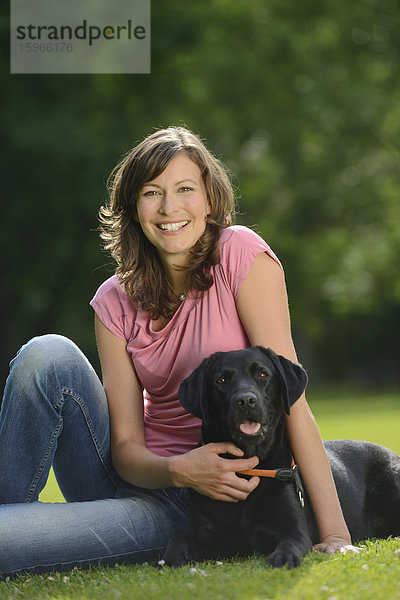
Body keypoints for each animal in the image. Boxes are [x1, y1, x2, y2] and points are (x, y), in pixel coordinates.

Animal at [162, 346, 400, 568]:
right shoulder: (209, 537)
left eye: (262, 374)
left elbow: (290, 542)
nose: (245, 401)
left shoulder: (294, 529)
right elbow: (178, 539)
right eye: (221, 380)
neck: (247, 468)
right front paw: (171, 559)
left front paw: (283, 557)